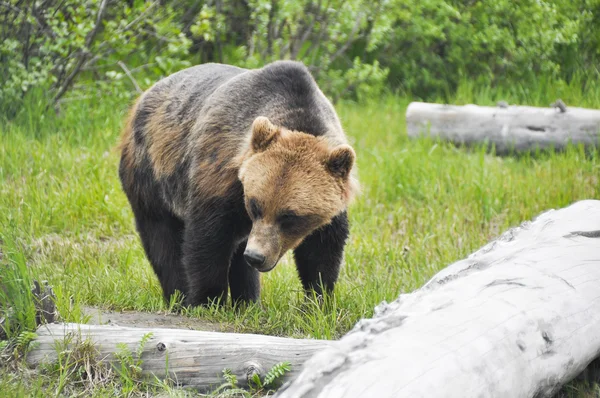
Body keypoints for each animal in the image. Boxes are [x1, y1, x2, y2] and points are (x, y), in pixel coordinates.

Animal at [119, 60, 358, 306]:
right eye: (255, 205)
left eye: (289, 216)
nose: (256, 257)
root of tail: (143, 96)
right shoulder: (220, 174)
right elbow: (208, 238)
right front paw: (207, 299)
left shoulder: (332, 200)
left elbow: (322, 249)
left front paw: (317, 300)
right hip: (151, 171)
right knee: (161, 238)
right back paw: (179, 295)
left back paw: (248, 300)